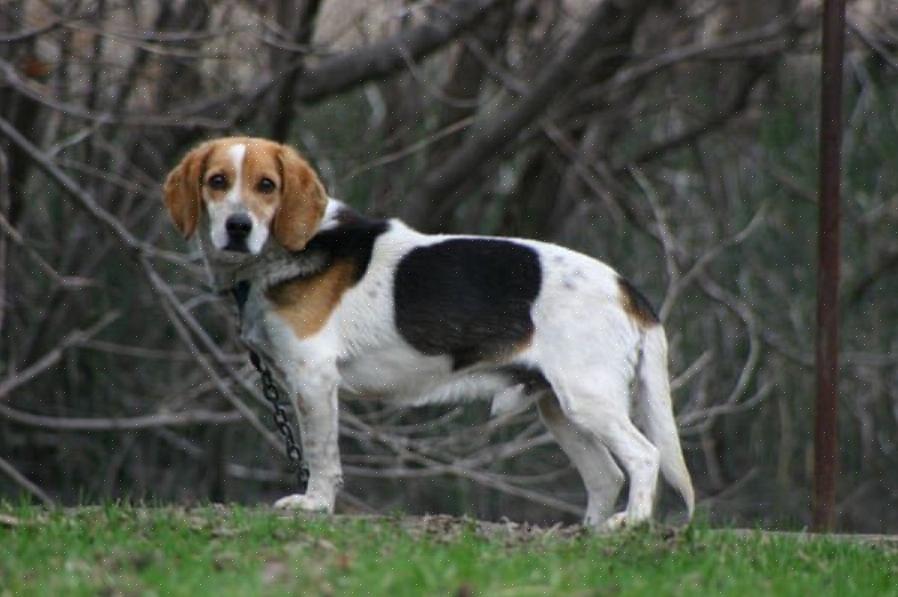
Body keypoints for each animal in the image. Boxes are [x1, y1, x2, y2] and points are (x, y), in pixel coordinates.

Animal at [163, 137, 692, 528]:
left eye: (267, 186)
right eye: (217, 182)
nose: (237, 227)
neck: (290, 249)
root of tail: (627, 289)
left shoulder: (313, 377)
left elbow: (320, 454)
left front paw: (314, 505)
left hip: (587, 399)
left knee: (644, 457)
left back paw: (631, 524)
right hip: (560, 409)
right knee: (605, 476)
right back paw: (591, 534)